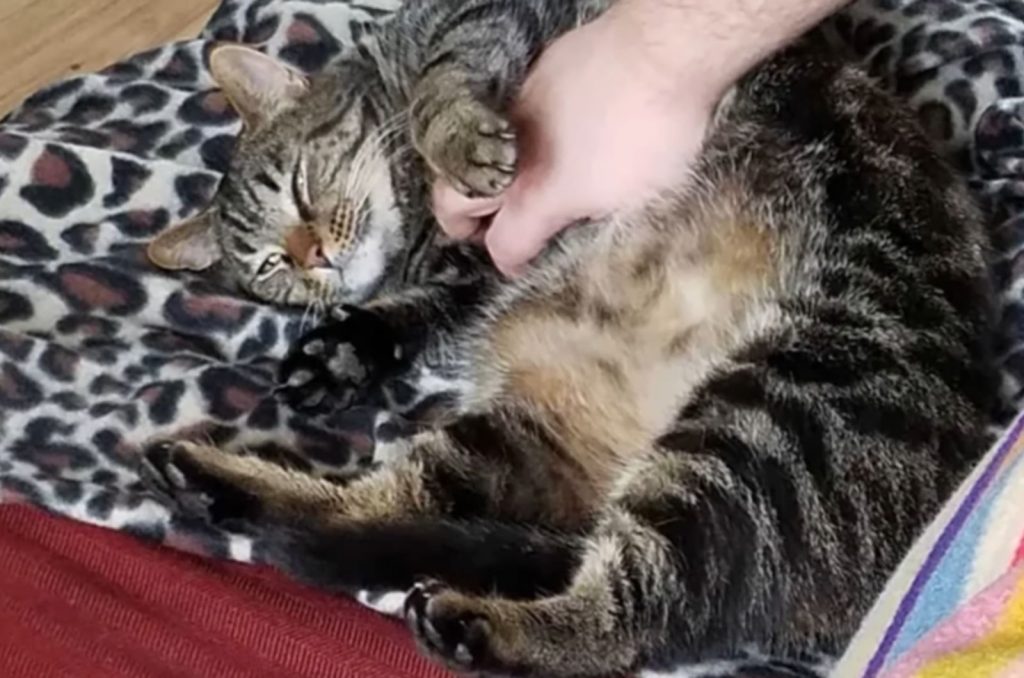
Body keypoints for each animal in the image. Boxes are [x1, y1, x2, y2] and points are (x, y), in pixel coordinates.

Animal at [140, 0, 995, 675]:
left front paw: (456, 141)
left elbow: (443, 76)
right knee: (398, 509)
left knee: (628, 620)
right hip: (568, 429)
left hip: (772, 410)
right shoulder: (473, 276)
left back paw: (473, 622)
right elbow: (412, 311)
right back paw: (217, 483)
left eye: (299, 187)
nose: (314, 255)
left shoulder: (493, 28)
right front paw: (338, 353)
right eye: (269, 264)